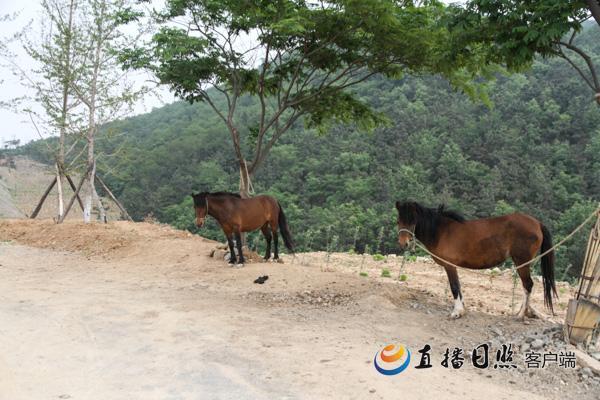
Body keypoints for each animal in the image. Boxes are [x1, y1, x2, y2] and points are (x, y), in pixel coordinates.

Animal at [394, 202, 556, 320]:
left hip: (522, 262)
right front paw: (462, 309)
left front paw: (456, 312)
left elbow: (454, 287)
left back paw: (520, 315)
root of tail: (537, 223)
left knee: (527, 285)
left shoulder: (450, 266)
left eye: (413, 221)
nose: (404, 244)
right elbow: (458, 286)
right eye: (398, 221)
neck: (441, 231)